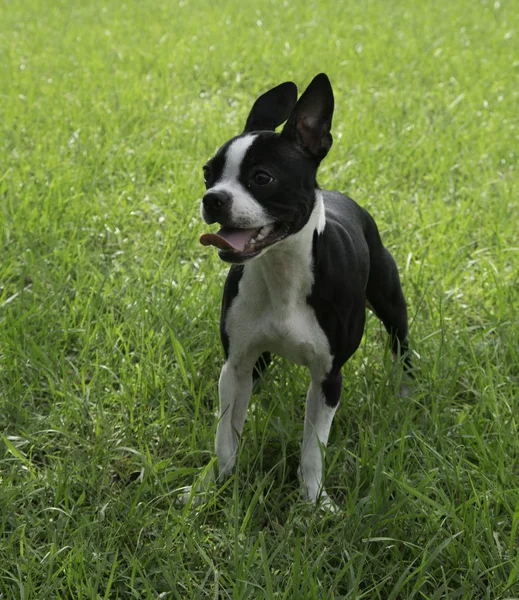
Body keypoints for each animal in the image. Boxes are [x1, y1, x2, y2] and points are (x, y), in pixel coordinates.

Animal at [197, 72, 412, 508]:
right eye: (208, 173)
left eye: (262, 178)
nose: (212, 199)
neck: (281, 270)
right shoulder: (235, 365)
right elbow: (226, 435)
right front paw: (217, 485)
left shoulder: (328, 379)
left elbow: (314, 448)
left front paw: (314, 502)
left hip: (389, 299)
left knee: (401, 342)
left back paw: (406, 390)